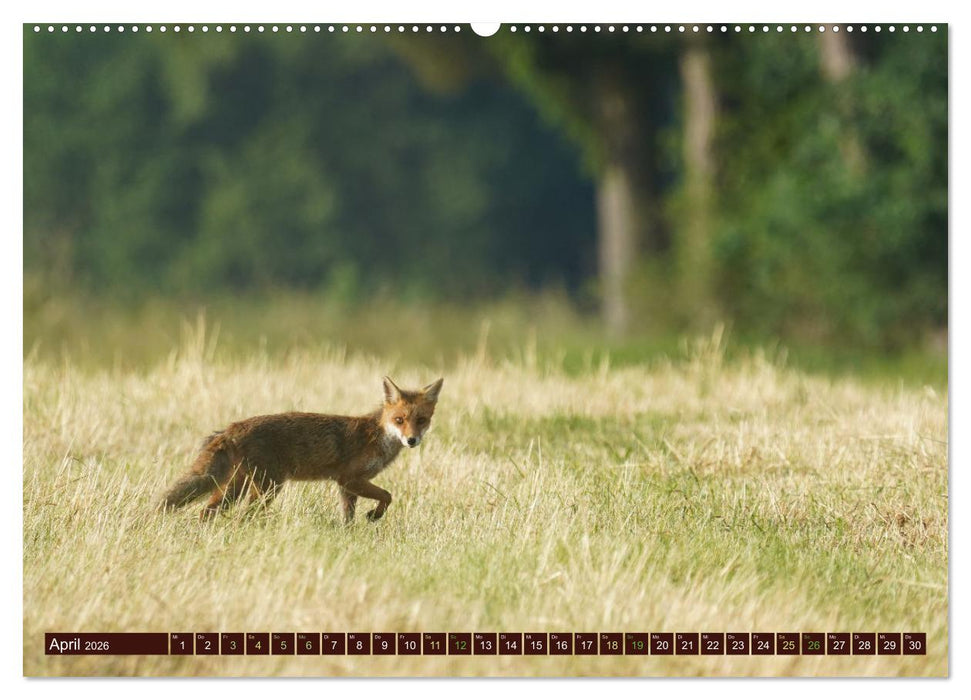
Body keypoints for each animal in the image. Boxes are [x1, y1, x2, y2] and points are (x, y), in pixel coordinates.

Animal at [159, 376, 443, 523]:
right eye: (399, 420)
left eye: (421, 420)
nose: (411, 440)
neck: (377, 436)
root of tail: (232, 428)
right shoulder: (350, 478)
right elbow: (388, 495)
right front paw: (374, 515)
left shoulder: (347, 486)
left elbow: (349, 516)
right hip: (267, 486)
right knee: (243, 515)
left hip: (237, 486)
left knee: (207, 511)